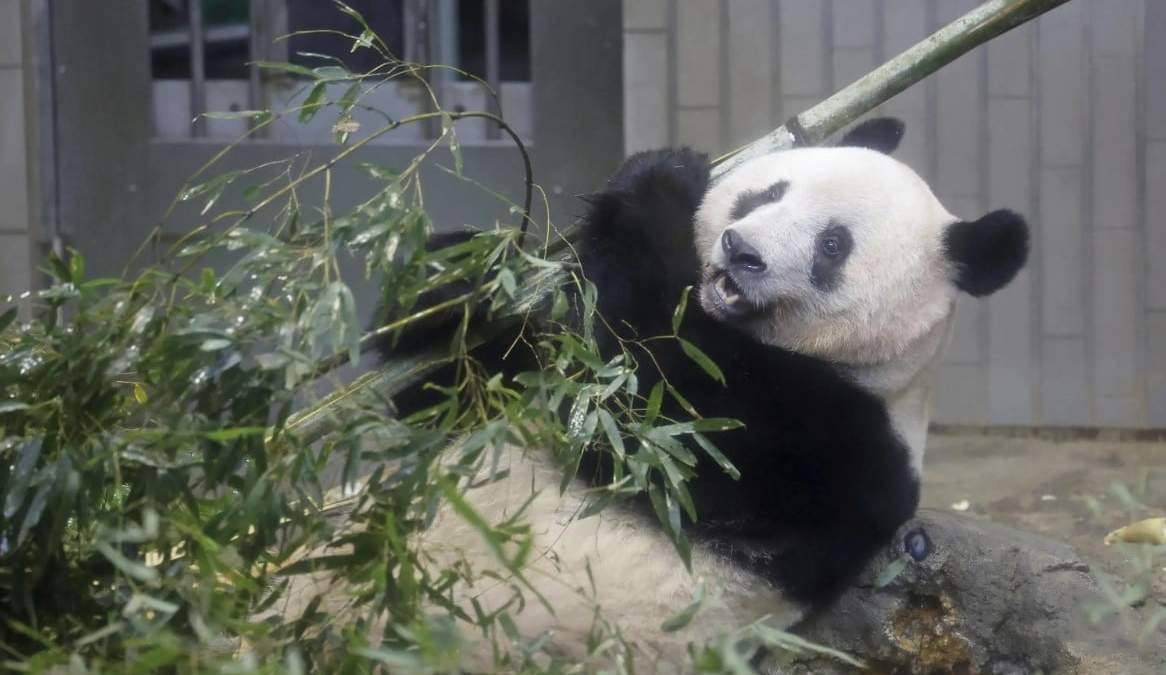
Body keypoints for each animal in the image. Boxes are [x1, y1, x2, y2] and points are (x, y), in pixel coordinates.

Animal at [365, 118, 1029, 671]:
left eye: (833, 245)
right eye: (769, 194)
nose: (742, 251)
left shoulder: (829, 446)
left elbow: (651, 416)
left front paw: (661, 182)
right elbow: (466, 387)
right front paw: (456, 279)